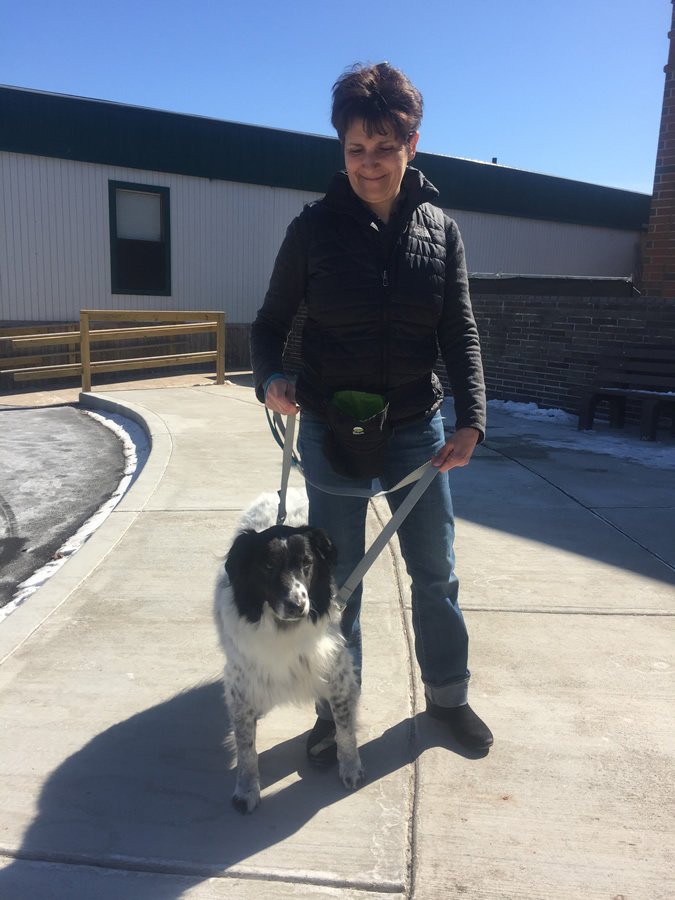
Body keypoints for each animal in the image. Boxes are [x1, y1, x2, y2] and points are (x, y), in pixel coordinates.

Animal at [215, 488, 364, 812]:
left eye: (307, 563)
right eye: (268, 566)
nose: (298, 605)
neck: (282, 627)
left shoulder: (337, 672)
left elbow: (345, 727)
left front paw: (350, 767)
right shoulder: (241, 684)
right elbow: (246, 747)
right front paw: (247, 789)